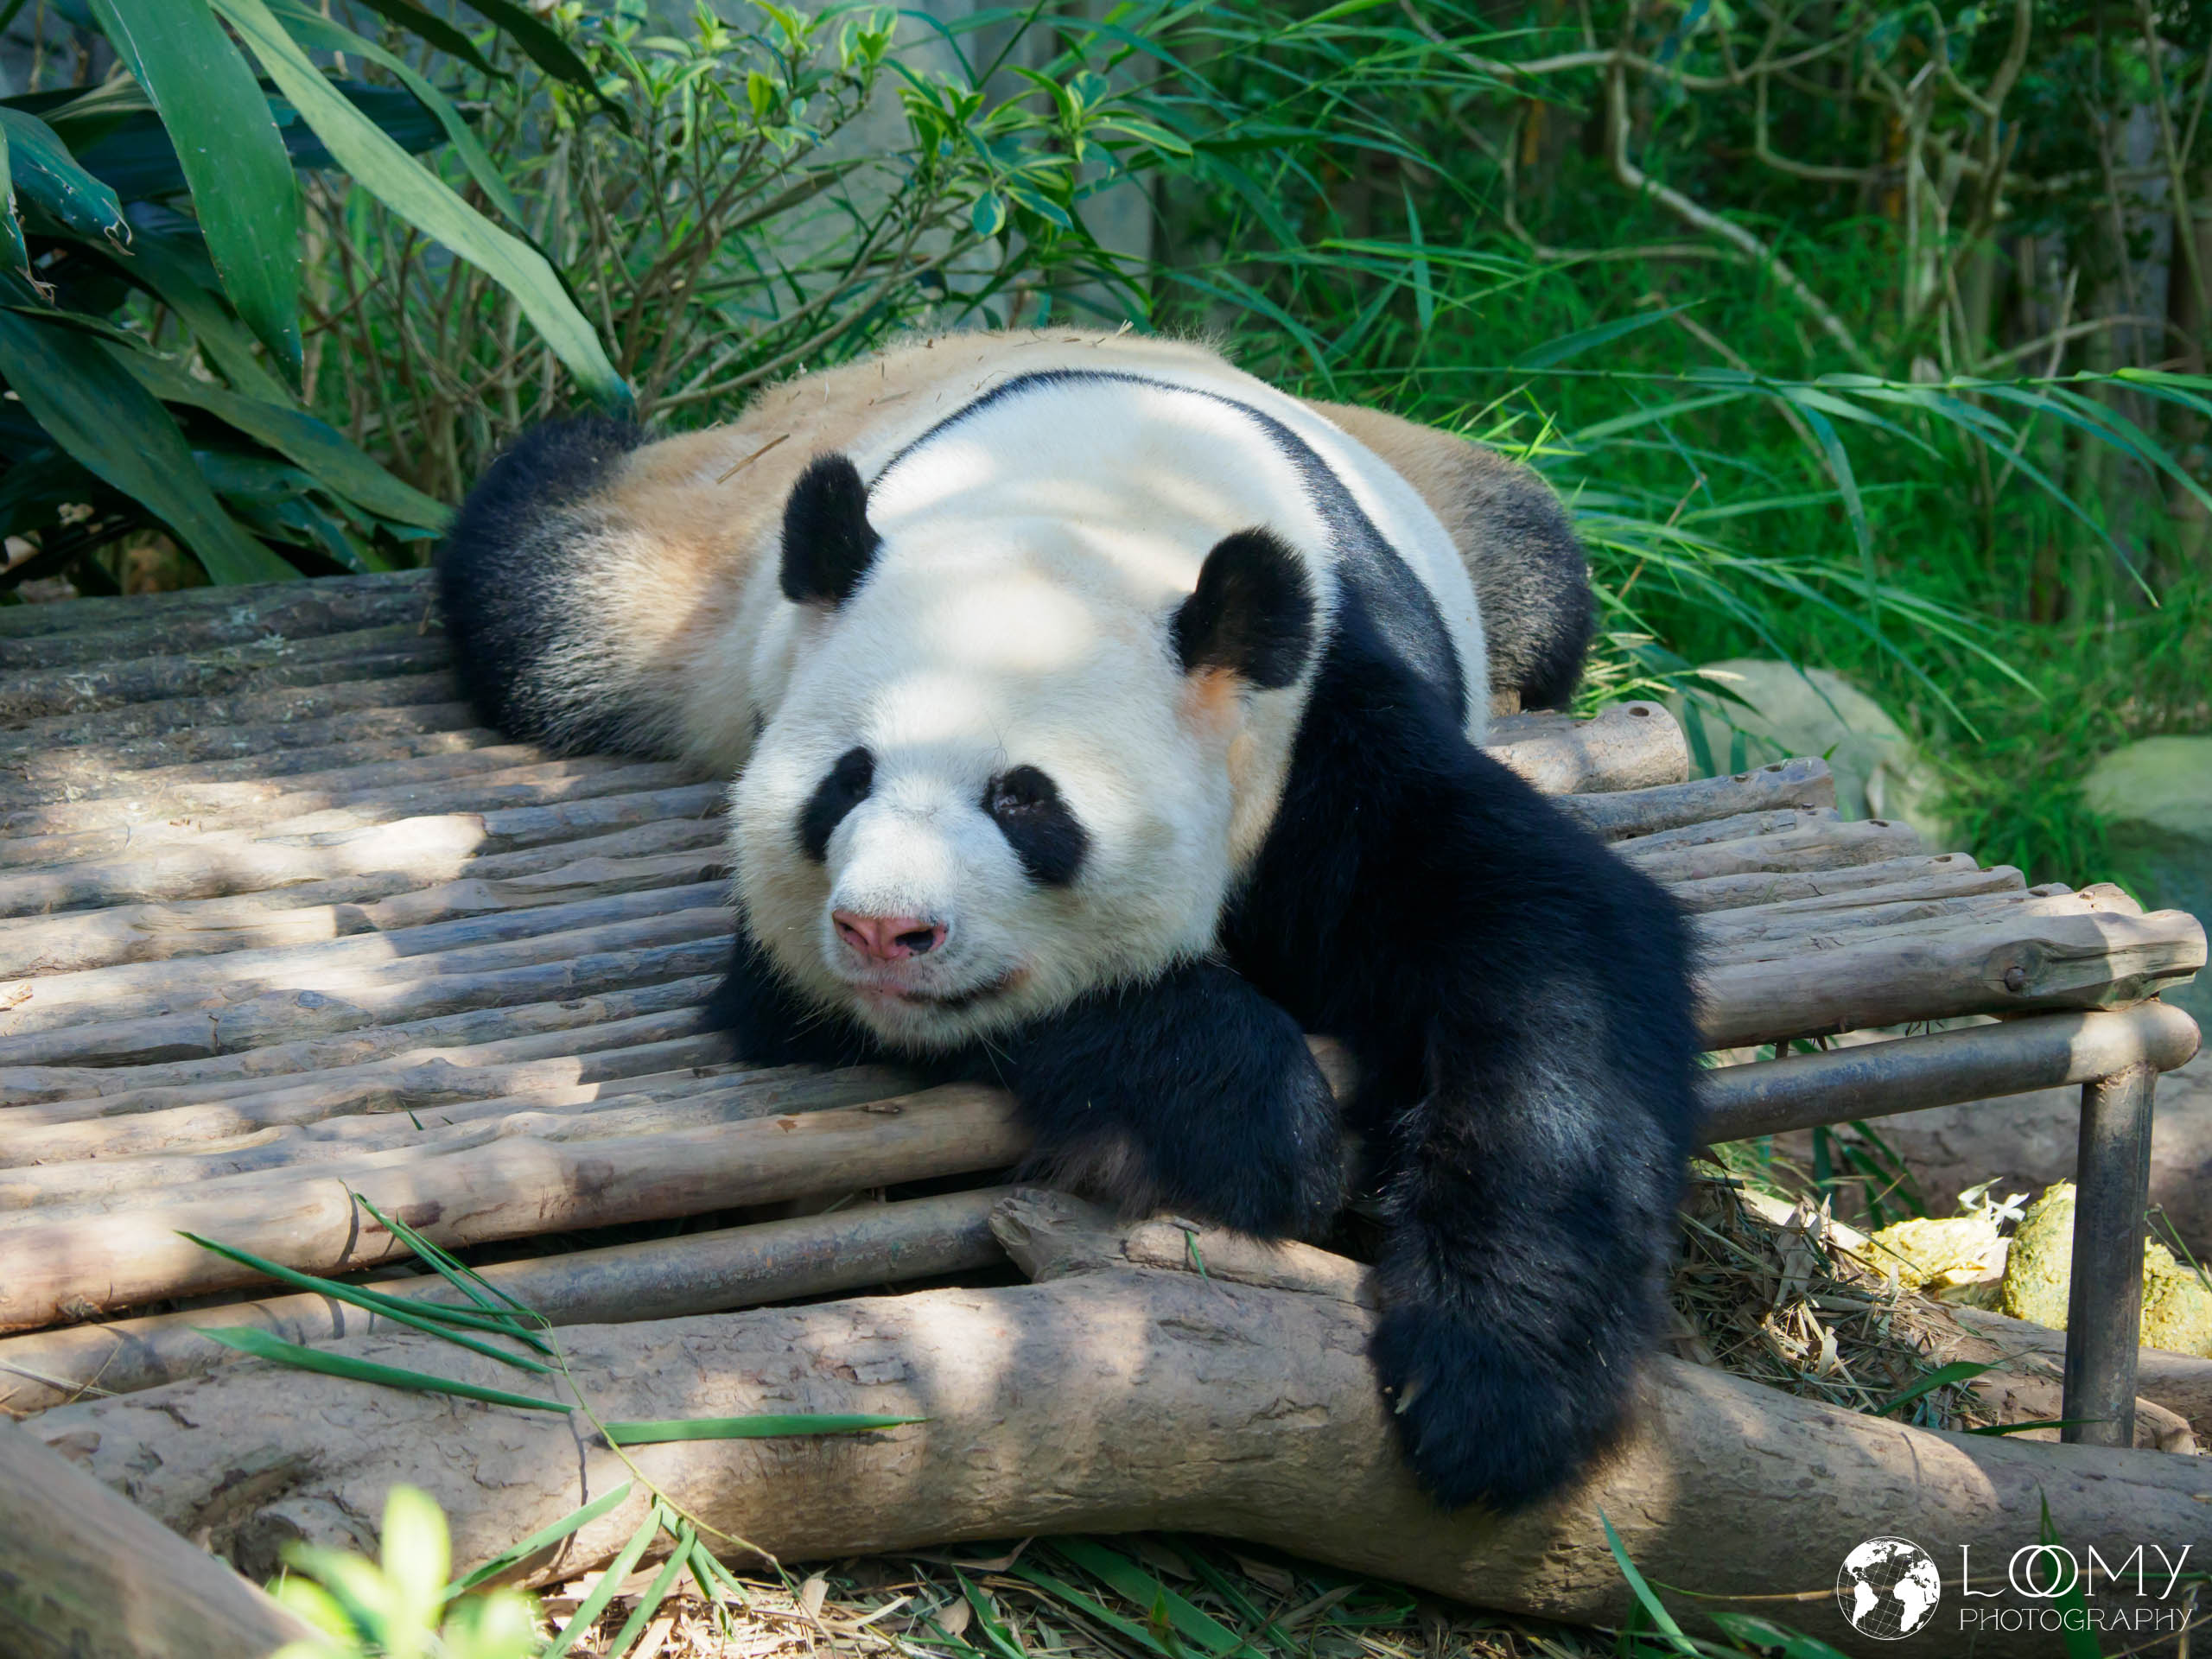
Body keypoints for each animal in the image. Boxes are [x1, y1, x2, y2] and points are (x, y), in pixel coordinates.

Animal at [437, 328, 1702, 1511]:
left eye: (1024, 800)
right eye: (846, 781)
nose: (885, 931)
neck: (1078, 517)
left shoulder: (1320, 714)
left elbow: (1542, 937)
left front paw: (1497, 1392)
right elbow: (816, 1000)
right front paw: (1258, 1122)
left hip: (1461, 505)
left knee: (1542, 571)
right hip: (679, 571)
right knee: (541, 591)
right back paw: (584, 444)